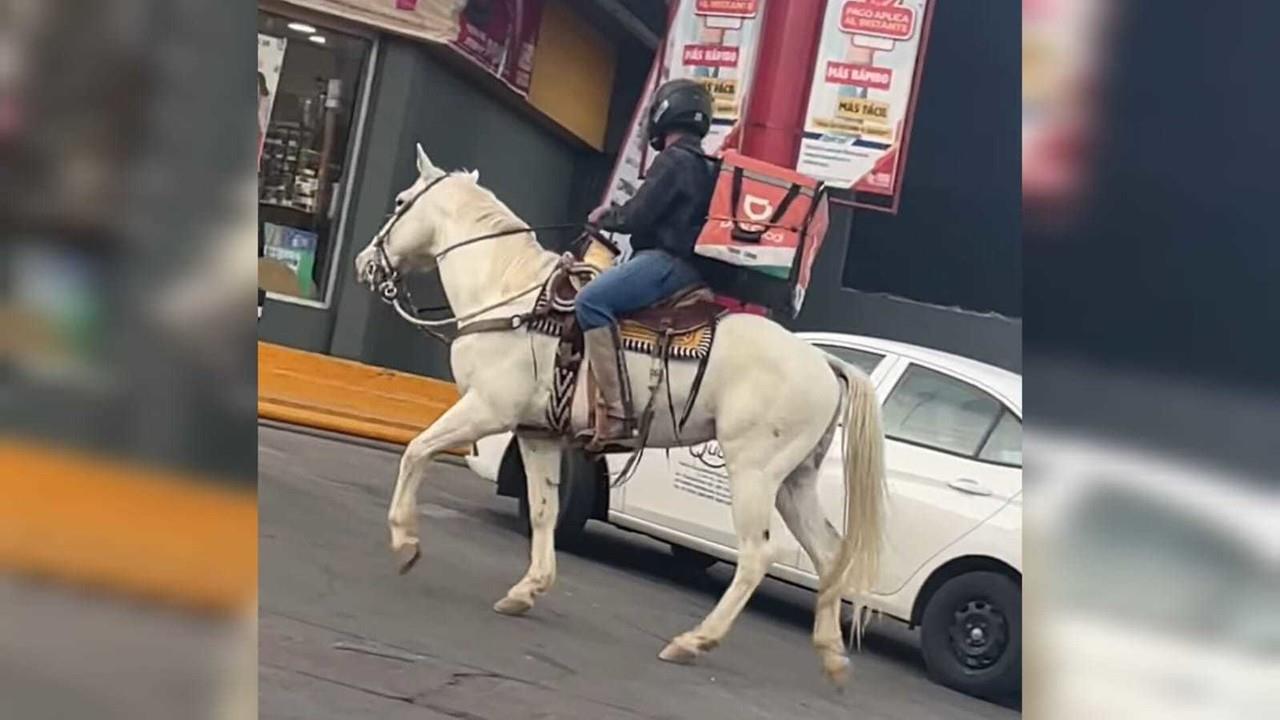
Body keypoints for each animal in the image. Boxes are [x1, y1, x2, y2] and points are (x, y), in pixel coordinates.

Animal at [355, 141, 885, 681]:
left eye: (400, 201)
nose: (365, 263)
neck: (512, 296)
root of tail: (825, 364)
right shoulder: (537, 432)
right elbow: (544, 511)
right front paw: (529, 589)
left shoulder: (487, 409)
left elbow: (416, 451)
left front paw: (405, 543)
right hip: (795, 480)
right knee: (829, 553)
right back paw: (832, 656)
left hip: (754, 473)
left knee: (757, 555)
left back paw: (693, 642)